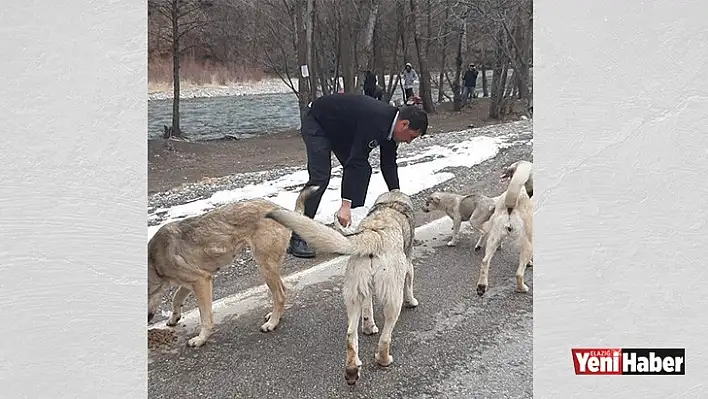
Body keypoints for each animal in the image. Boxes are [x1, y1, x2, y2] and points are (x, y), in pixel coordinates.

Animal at [266, 191, 420, 388]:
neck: (391, 203)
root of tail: (373, 234)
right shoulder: (408, 265)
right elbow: (410, 283)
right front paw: (412, 301)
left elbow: (367, 310)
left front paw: (369, 327)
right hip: (393, 298)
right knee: (385, 337)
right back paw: (383, 359)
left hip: (354, 293)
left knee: (350, 335)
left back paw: (352, 370)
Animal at [476, 160, 532, 296]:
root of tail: (510, 206)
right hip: (527, 245)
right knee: (519, 273)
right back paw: (522, 288)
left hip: (493, 238)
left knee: (485, 261)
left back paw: (481, 286)